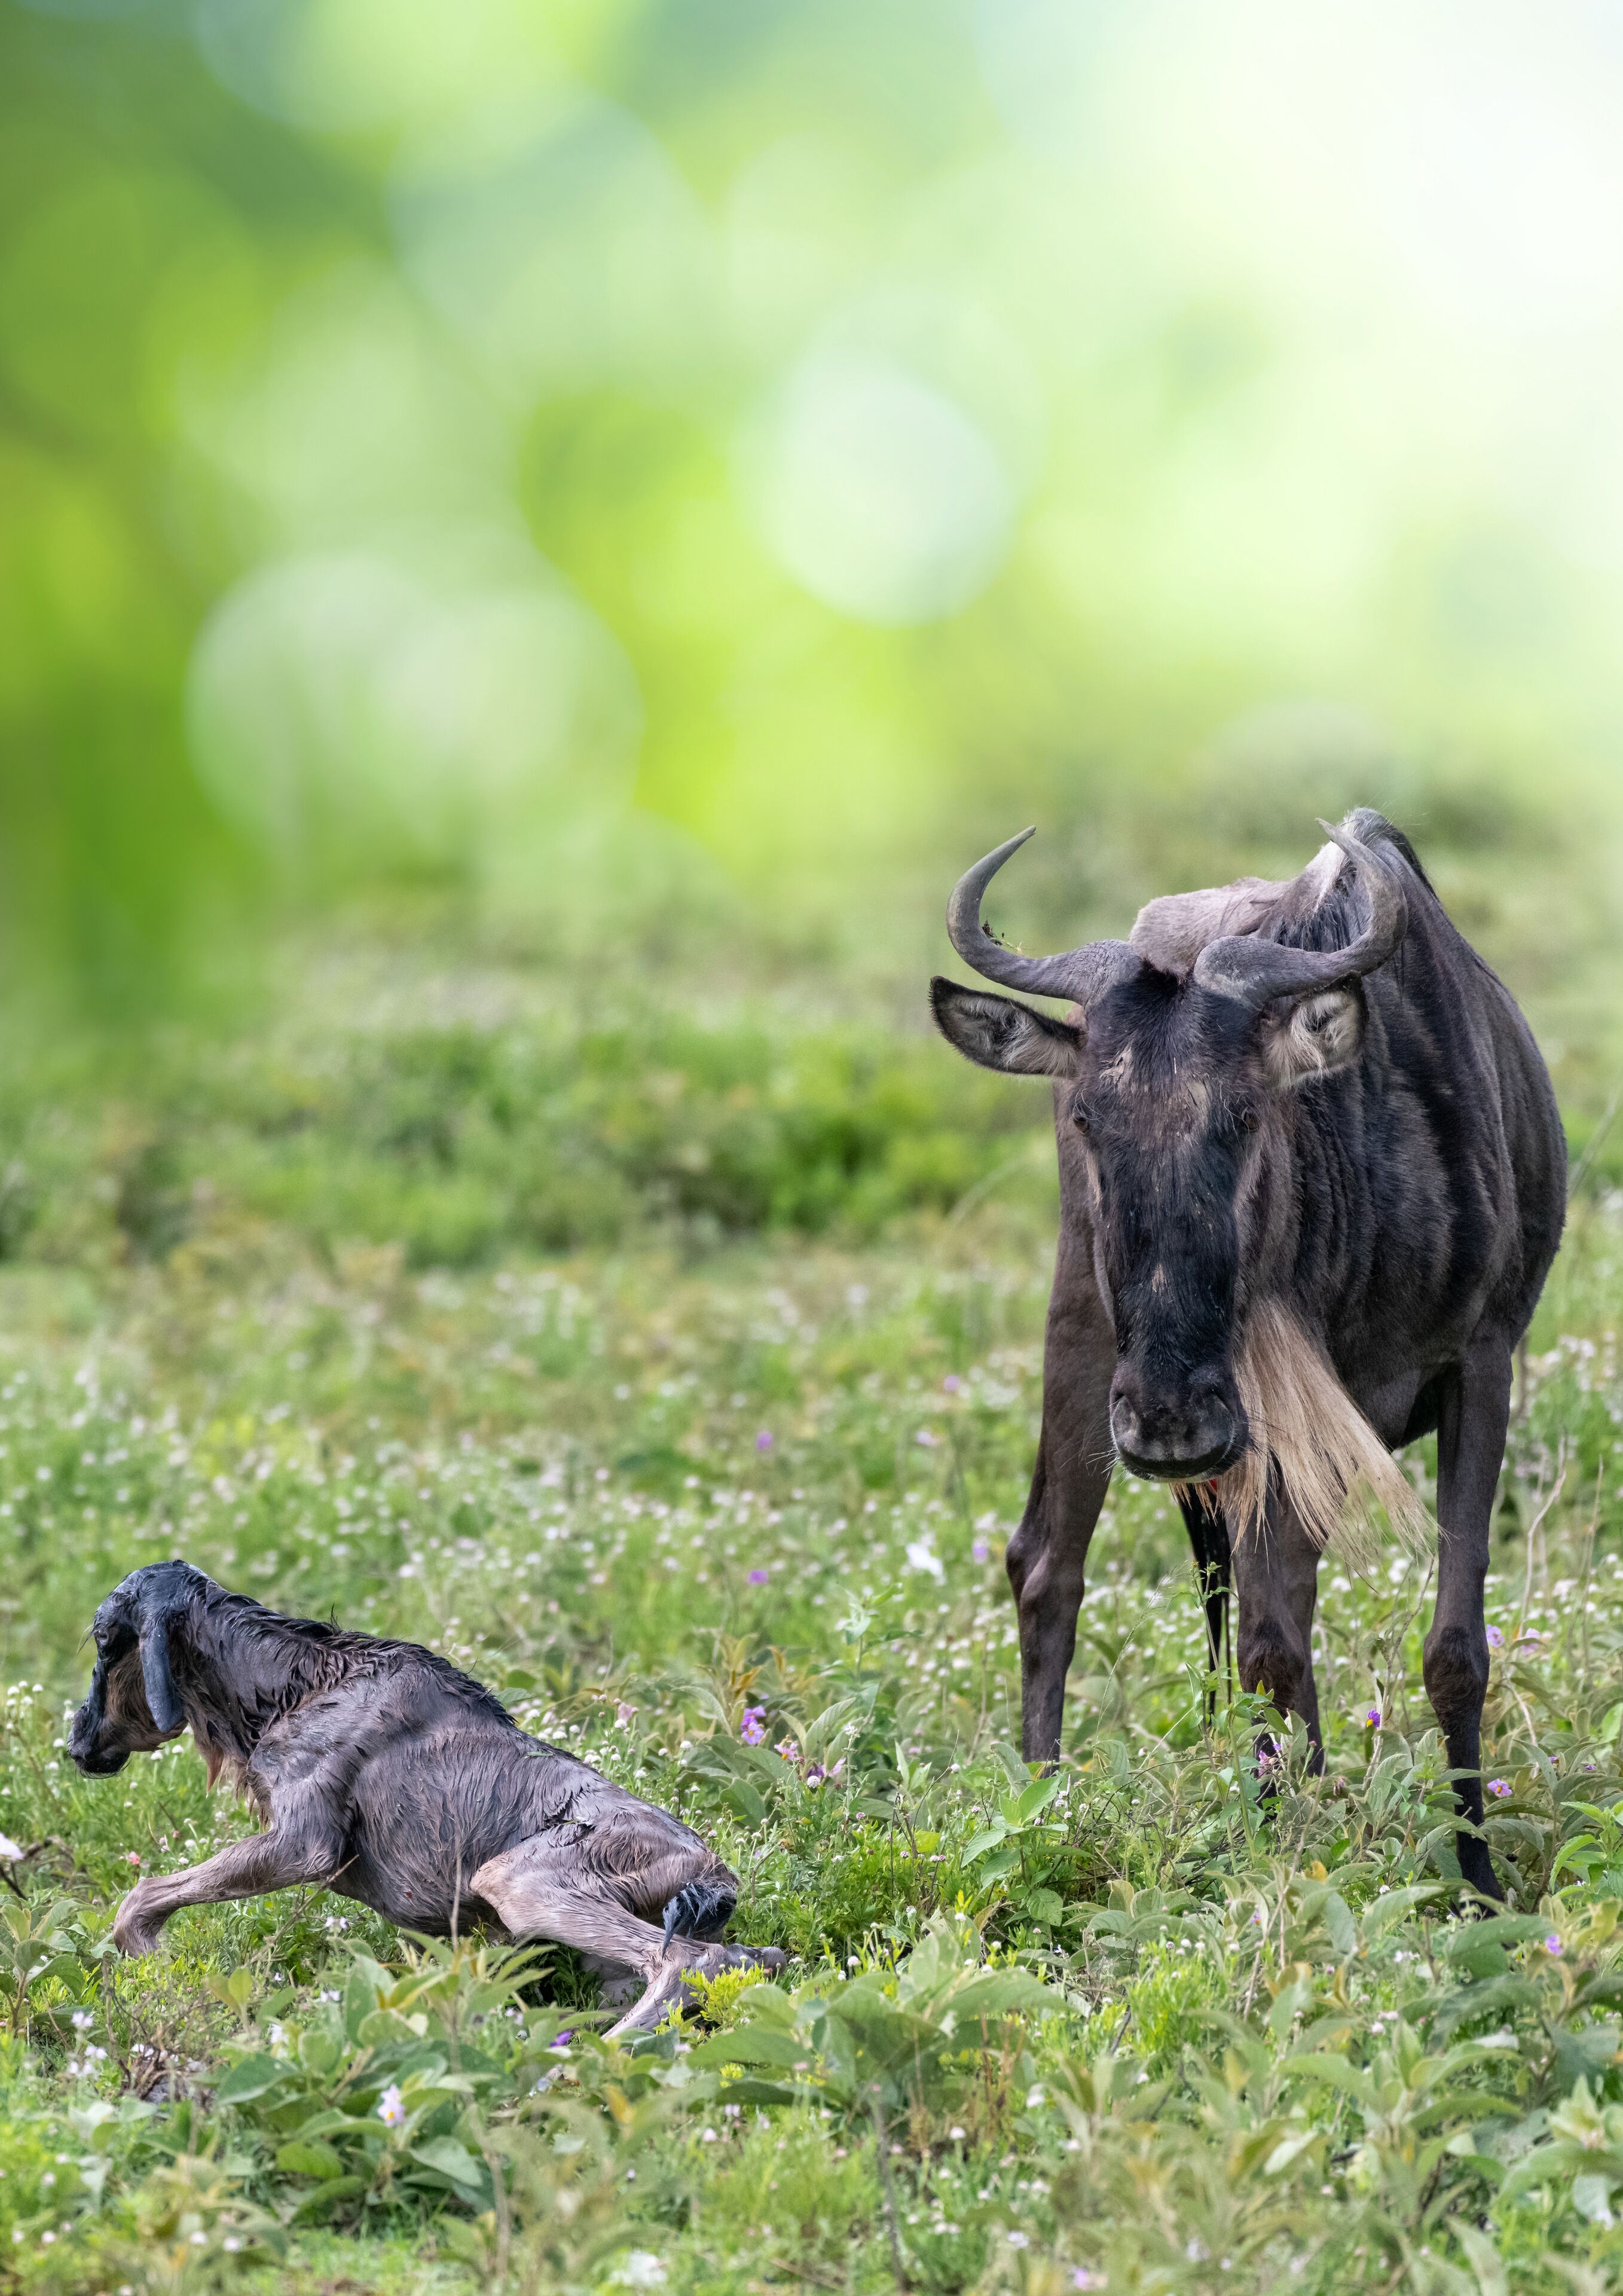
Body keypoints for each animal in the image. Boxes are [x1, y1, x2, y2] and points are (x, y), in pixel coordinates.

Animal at [930, 810, 1565, 1898]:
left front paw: (1477, 1879)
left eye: (1243, 1113)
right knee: (1051, 1565)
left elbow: (1451, 1648)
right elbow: (1274, 1646)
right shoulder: (1260, 1421)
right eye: (1088, 1120)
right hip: (1083, 1338)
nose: (1170, 1423)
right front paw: (1292, 1847)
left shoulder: (1480, 1365)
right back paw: (1041, 1815)